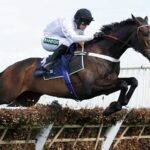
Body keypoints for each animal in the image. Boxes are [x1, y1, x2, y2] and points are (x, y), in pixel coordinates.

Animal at [0, 14, 150, 115]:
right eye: (145, 33)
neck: (102, 52)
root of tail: (8, 69)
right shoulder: (91, 87)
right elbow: (123, 84)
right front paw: (111, 108)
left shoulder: (109, 83)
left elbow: (133, 81)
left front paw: (117, 104)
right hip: (7, 94)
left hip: (25, 99)